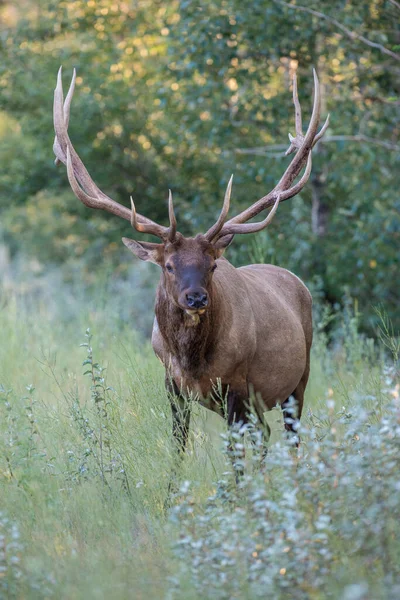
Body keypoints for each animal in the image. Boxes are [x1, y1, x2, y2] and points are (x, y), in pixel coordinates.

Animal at [52, 65, 328, 466]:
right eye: (168, 265)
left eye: (212, 266)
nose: (196, 298)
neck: (193, 361)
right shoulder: (173, 385)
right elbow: (178, 447)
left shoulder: (236, 386)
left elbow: (233, 455)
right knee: (265, 435)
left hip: (299, 378)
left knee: (289, 436)